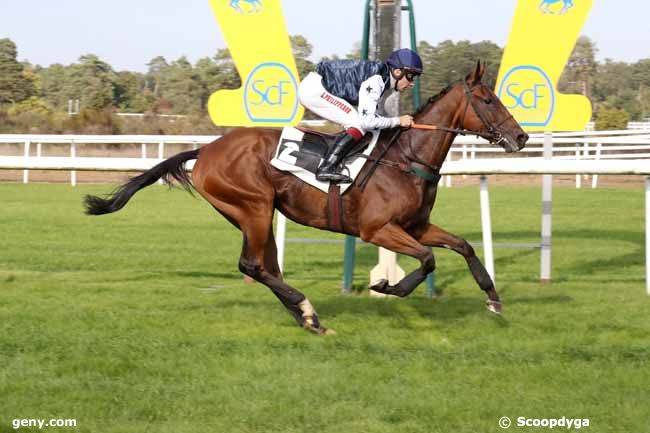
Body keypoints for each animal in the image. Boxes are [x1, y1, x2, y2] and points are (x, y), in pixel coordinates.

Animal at [85, 61, 528, 334]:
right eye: (488, 100)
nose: (522, 137)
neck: (406, 158)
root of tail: (207, 150)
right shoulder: (377, 230)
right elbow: (428, 259)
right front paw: (388, 287)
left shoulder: (416, 225)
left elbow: (464, 246)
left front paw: (493, 300)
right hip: (254, 207)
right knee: (252, 265)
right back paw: (306, 308)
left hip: (254, 214)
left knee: (266, 267)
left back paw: (308, 318)